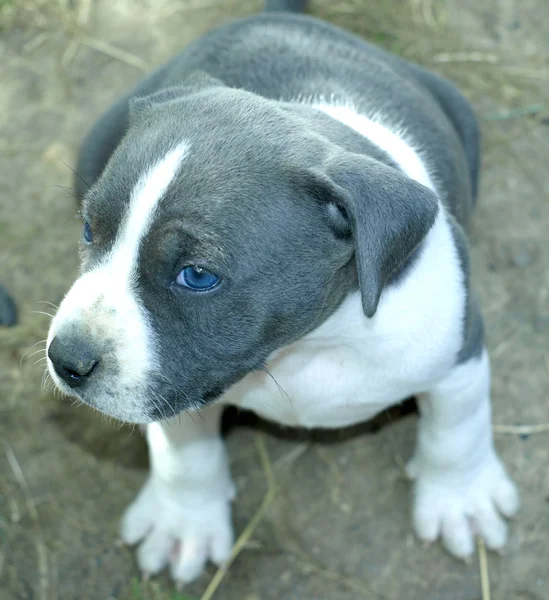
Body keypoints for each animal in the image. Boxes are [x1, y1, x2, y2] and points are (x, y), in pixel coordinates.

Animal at [46, 0, 520, 584]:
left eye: (197, 275)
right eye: (90, 230)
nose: (66, 359)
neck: (307, 345)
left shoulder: (459, 351)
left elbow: (458, 428)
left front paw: (462, 502)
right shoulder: (179, 386)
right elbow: (184, 452)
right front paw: (183, 524)